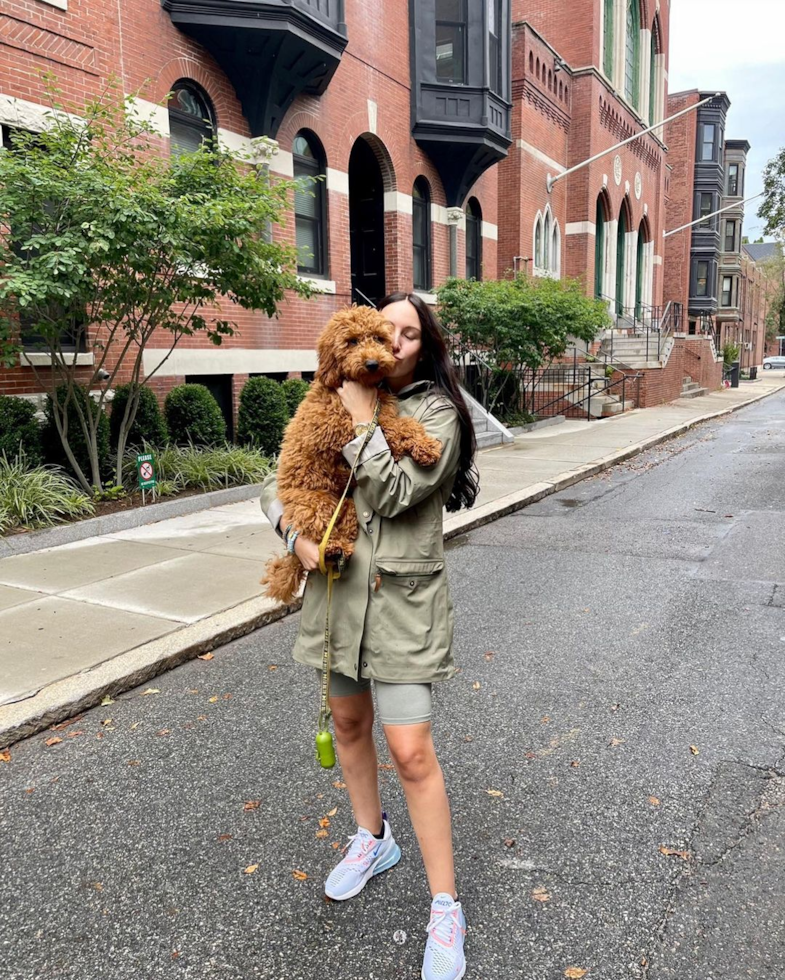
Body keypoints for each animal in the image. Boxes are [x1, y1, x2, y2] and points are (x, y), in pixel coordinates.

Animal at [262, 304, 440, 604]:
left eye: (379, 338)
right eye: (352, 341)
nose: (373, 364)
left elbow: (402, 424)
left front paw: (425, 443)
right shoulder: (341, 427)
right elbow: (396, 428)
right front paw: (426, 446)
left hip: (344, 505)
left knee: (342, 527)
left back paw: (339, 551)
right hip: (317, 503)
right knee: (318, 530)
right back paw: (333, 548)